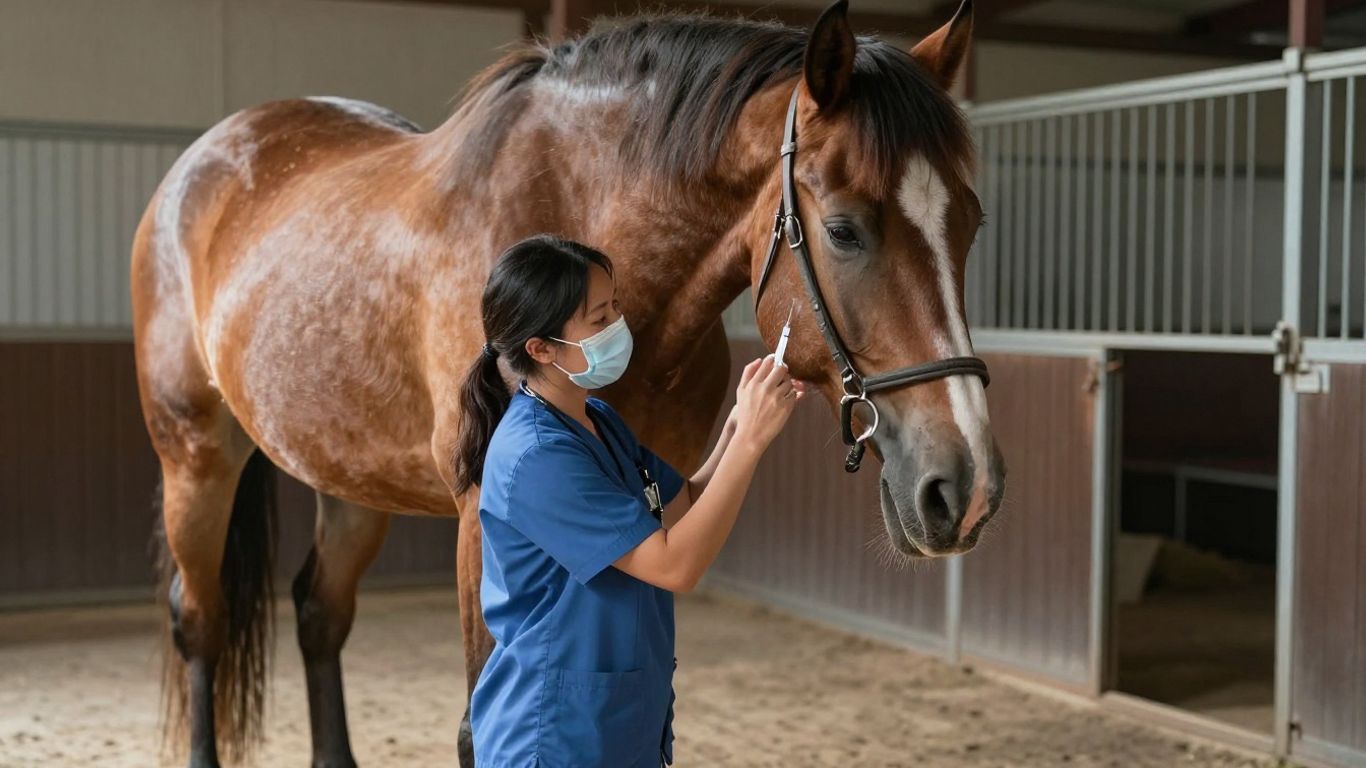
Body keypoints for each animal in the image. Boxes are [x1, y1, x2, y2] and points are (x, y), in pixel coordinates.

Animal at [130, 1, 1003, 765]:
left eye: (971, 223)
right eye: (844, 230)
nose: (966, 489)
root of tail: (199, 165)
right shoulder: (480, 517)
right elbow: (479, 728)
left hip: (348, 482)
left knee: (319, 614)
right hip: (195, 461)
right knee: (200, 624)